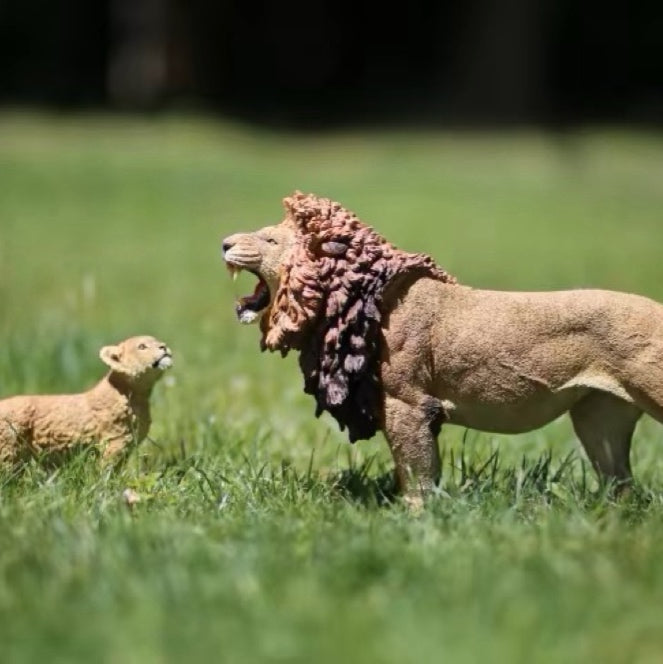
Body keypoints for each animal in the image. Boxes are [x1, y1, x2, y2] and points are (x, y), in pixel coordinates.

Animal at [0, 335, 172, 464]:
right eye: (142, 346)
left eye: (157, 341)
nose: (164, 347)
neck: (135, 395)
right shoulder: (113, 443)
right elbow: (106, 472)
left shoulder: (127, 446)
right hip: (8, 451)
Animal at [222, 192, 663, 504]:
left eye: (269, 238)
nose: (224, 243)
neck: (359, 299)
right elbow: (423, 471)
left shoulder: (408, 404)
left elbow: (417, 473)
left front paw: (413, 522)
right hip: (597, 415)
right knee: (621, 485)